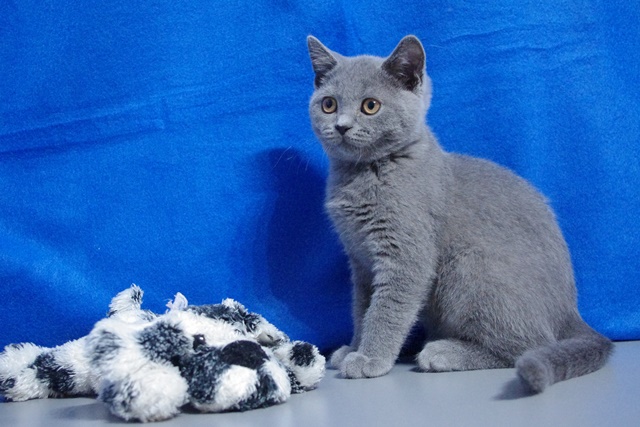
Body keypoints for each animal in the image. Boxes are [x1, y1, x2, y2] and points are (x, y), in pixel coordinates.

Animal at [306, 35, 612, 392]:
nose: (341, 126)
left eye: (370, 106)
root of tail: (571, 312)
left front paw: (370, 359)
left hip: (468, 266)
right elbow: (362, 307)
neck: (365, 173)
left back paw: (443, 353)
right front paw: (354, 347)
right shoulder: (361, 261)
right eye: (328, 104)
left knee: (530, 344)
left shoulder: (406, 255)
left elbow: (387, 310)